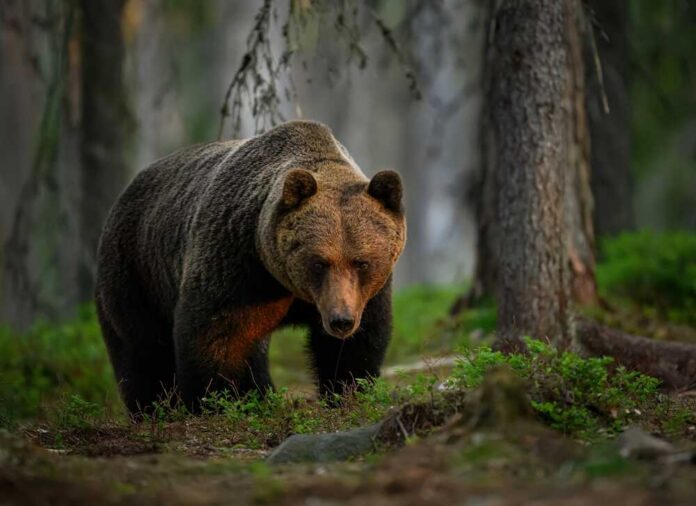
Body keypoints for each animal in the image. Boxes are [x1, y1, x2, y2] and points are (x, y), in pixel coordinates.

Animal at [95, 120, 406, 415]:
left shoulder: (366, 294)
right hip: (136, 272)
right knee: (143, 351)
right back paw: (154, 407)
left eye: (361, 262)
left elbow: (356, 344)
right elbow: (219, 336)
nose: (340, 320)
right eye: (319, 262)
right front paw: (220, 401)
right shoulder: (237, 266)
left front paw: (347, 391)